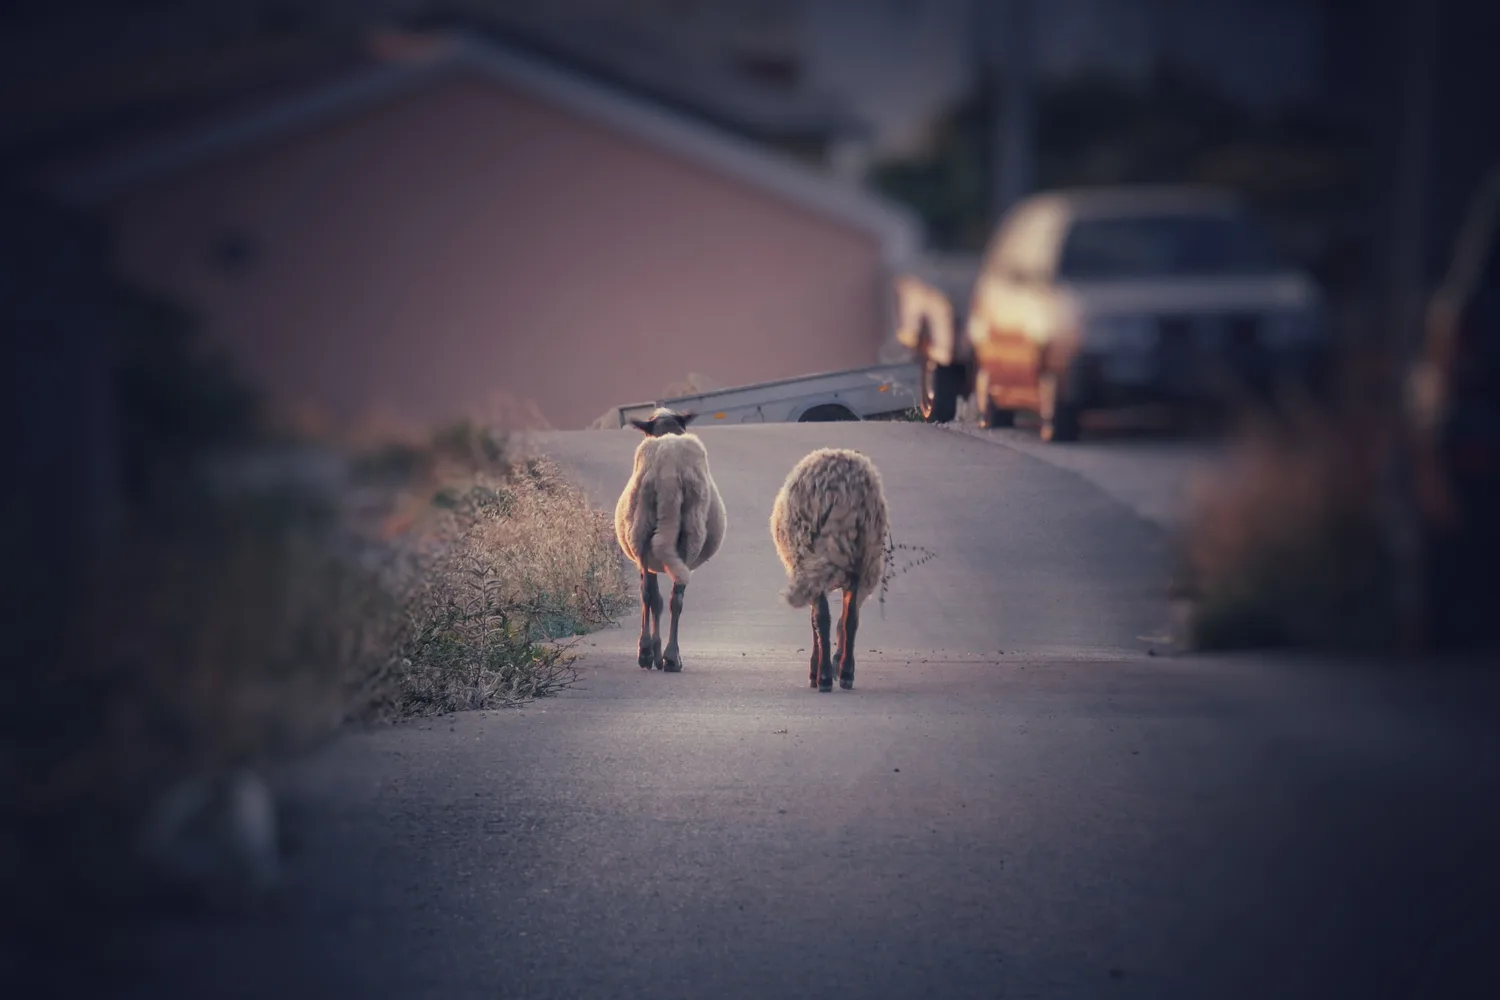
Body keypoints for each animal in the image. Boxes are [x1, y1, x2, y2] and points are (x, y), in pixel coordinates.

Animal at [614, 407, 727, 672]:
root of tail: (668, 470)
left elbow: (653, 598)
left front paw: (652, 652)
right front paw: (659, 654)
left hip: (641, 529)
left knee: (649, 595)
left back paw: (650, 652)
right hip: (686, 535)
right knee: (674, 599)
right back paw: (669, 656)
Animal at [769, 448, 888, 692]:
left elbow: (817, 619)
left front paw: (818, 670)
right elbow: (846, 618)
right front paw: (839, 666)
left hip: (810, 557)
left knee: (825, 618)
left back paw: (824, 674)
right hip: (860, 556)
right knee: (850, 619)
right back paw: (845, 672)